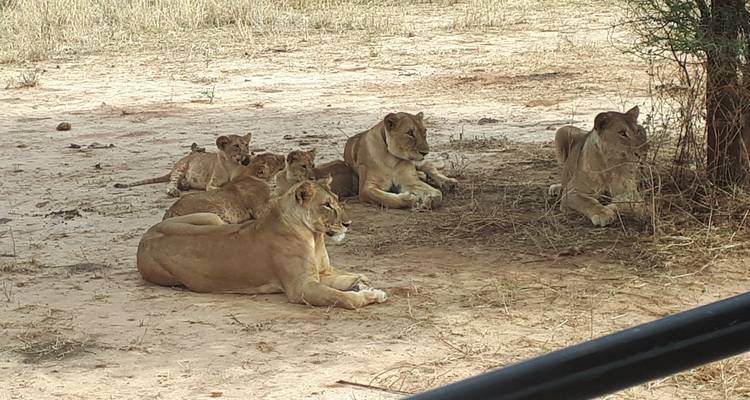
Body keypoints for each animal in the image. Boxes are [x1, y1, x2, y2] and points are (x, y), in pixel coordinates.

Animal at [114, 133, 252, 197]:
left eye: (246, 145)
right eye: (236, 146)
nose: (248, 155)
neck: (232, 164)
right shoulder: (211, 184)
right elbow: (221, 188)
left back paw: (184, 185)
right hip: (181, 168)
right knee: (171, 182)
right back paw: (174, 190)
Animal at [137, 177, 388, 309]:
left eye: (337, 200)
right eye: (326, 205)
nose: (348, 223)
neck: (315, 237)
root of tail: (145, 237)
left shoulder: (320, 275)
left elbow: (345, 279)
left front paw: (365, 283)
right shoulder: (300, 288)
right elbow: (342, 297)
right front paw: (368, 295)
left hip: (212, 219)